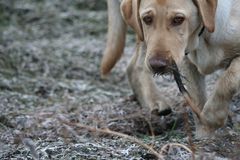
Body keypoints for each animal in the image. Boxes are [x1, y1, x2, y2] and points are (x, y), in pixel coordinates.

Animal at [101, 0, 240, 138]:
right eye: (147, 19)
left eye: (178, 19)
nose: (157, 65)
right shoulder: (186, 62)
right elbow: (198, 99)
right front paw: (204, 135)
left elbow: (227, 82)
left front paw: (211, 119)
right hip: (143, 37)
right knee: (135, 65)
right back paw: (155, 102)